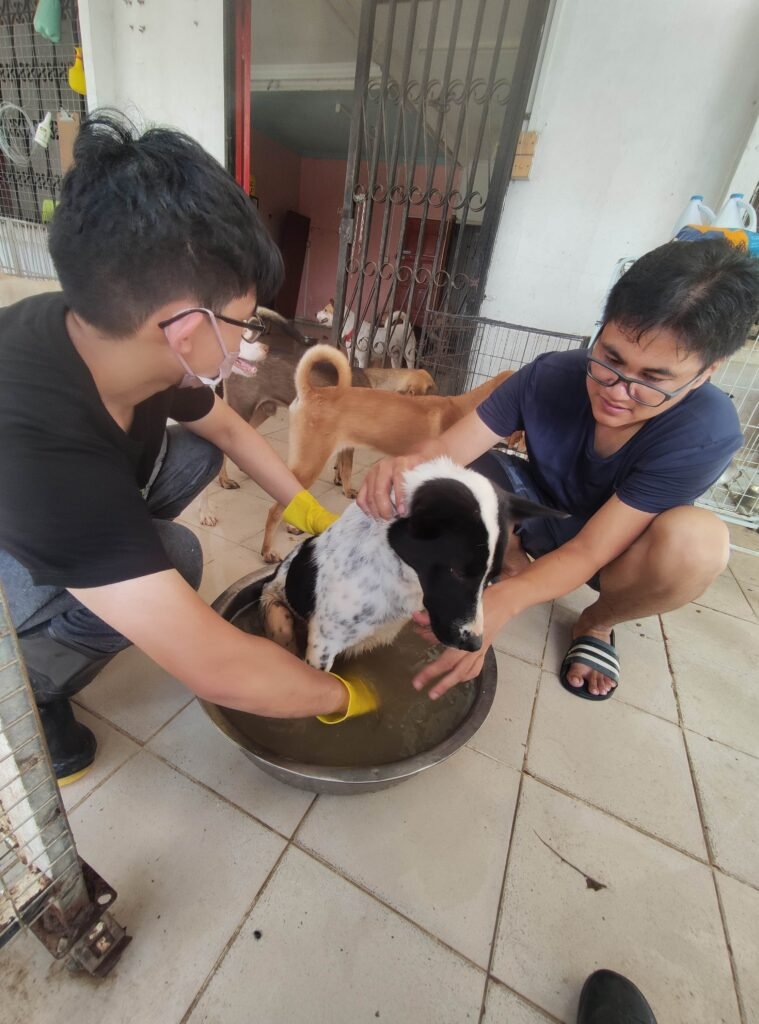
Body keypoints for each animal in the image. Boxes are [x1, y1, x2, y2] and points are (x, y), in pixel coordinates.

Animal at [260, 456, 561, 671]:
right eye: (456, 572)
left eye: (492, 580)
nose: (476, 644)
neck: (398, 574)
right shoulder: (322, 647)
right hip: (279, 616)